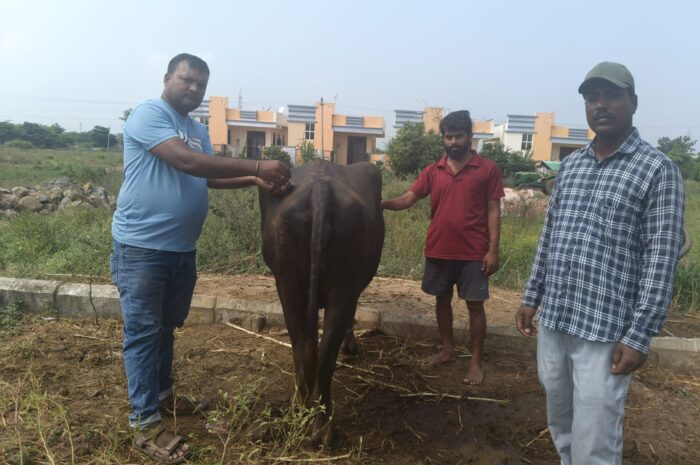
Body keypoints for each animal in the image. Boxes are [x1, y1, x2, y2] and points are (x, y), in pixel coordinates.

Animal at [260, 160, 386, 446]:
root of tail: (320, 188)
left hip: (289, 288)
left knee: (305, 351)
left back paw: (300, 412)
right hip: (340, 291)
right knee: (323, 356)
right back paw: (323, 427)